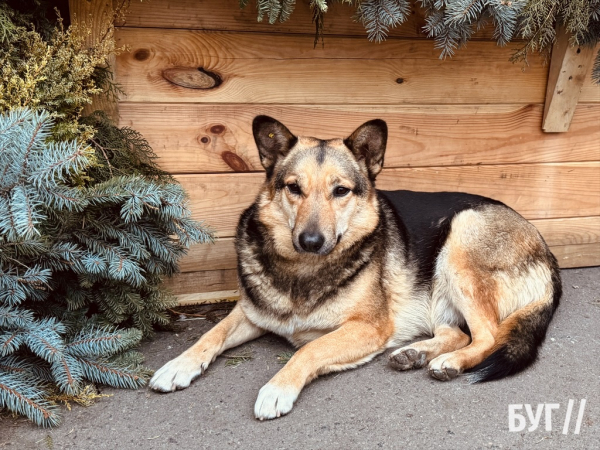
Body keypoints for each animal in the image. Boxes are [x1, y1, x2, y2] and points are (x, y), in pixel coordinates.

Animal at [148, 118, 560, 420]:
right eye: (293, 188)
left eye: (341, 191)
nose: (310, 241)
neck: (305, 269)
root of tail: (546, 251)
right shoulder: (250, 313)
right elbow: (210, 335)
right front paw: (178, 365)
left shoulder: (368, 328)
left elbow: (309, 350)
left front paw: (278, 387)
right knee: (458, 332)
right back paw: (418, 353)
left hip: (461, 237)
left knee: (488, 336)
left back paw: (448, 362)